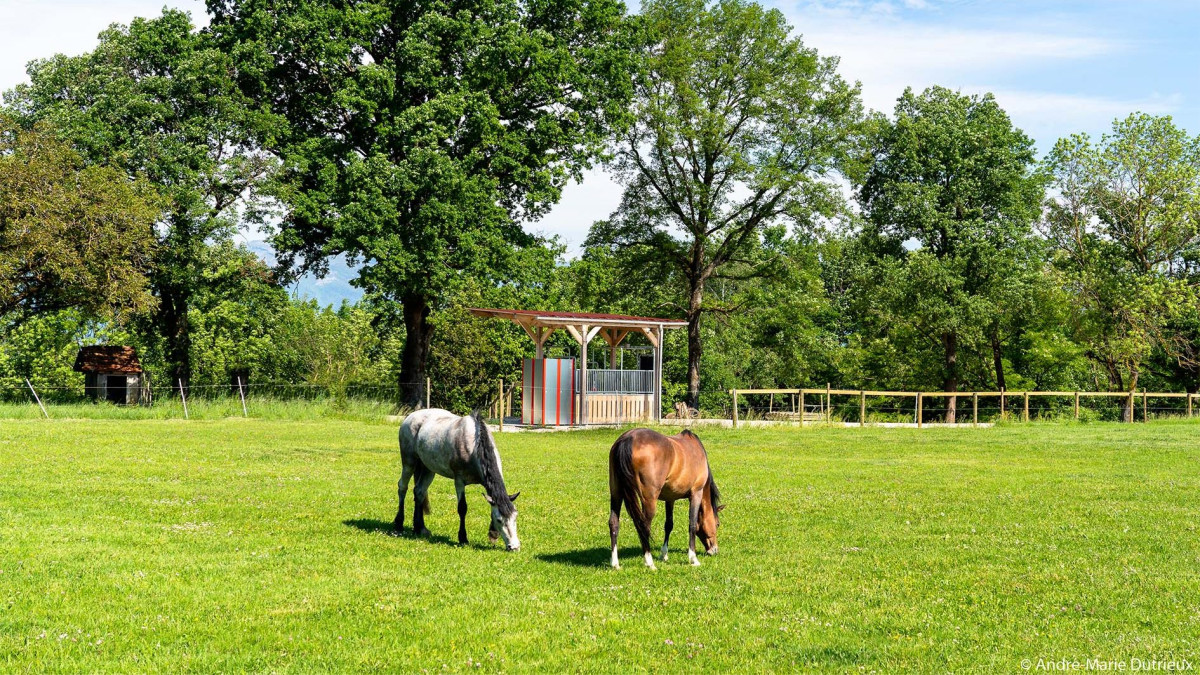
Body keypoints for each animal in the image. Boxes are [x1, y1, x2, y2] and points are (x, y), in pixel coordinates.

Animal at [609, 427, 720, 564]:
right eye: (717, 524)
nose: (714, 550)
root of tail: (628, 438)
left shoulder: (670, 498)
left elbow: (669, 525)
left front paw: (664, 554)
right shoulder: (696, 493)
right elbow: (692, 525)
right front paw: (693, 558)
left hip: (616, 494)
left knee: (614, 523)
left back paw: (615, 563)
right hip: (649, 500)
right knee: (644, 525)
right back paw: (649, 562)